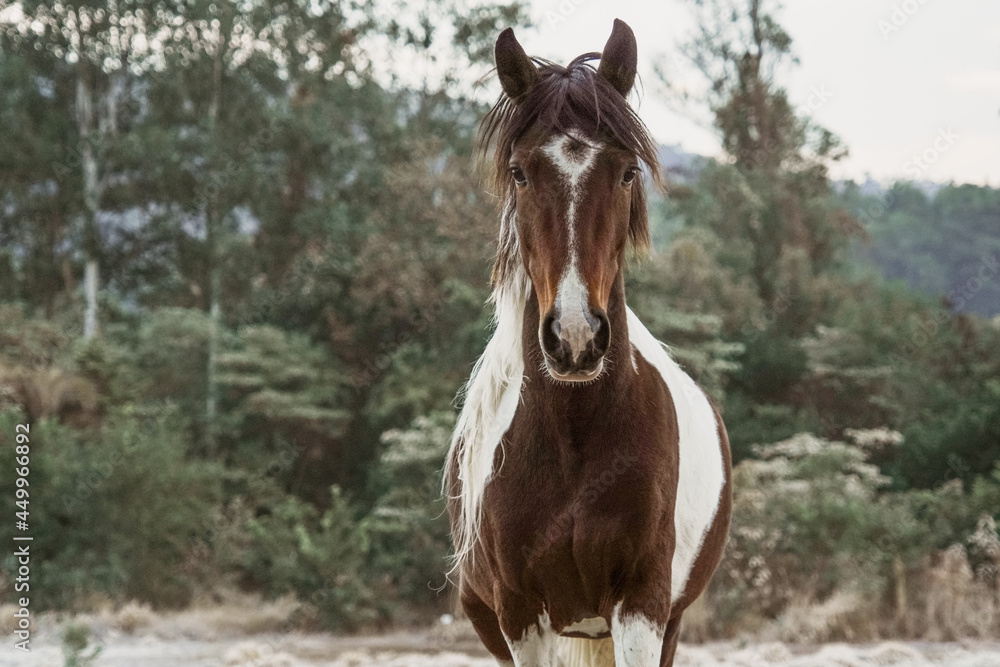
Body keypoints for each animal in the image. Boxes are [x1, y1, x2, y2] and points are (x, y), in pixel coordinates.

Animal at [444, 19, 732, 667]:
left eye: (625, 172)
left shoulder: (643, 607)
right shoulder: (519, 615)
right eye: (520, 172)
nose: (575, 340)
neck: (574, 439)